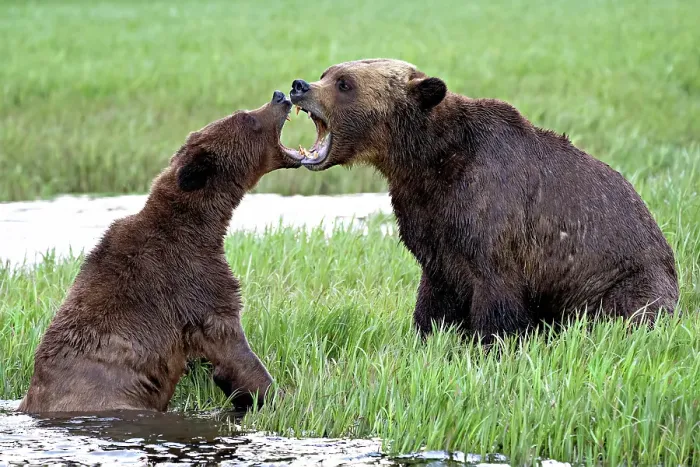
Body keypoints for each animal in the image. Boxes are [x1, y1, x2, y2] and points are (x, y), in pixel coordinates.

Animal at [18, 91, 305, 413]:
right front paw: (282, 396)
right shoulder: (192, 283)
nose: (279, 96)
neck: (201, 224)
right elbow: (231, 345)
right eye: (246, 117)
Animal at [288, 59, 679, 344]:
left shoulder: (490, 209)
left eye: (344, 83)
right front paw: (428, 339)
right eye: (327, 73)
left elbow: (495, 291)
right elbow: (435, 293)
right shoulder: (428, 219)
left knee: (631, 311)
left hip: (623, 276)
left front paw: (489, 344)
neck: (426, 160)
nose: (299, 86)